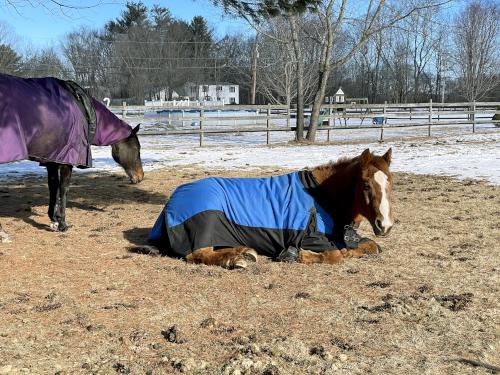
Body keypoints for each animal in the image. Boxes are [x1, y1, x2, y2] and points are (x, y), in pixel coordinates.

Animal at [0, 72, 145, 241]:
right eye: (137, 149)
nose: (140, 176)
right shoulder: (67, 160)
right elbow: (64, 189)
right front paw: (62, 224)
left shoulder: (53, 158)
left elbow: (53, 186)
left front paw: (54, 219)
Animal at [148, 148, 394, 268]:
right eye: (366, 185)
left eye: (390, 182)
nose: (385, 225)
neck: (321, 195)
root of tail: (171, 203)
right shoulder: (310, 237)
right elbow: (335, 256)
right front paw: (297, 255)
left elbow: (372, 246)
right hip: (205, 223)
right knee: (197, 254)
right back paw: (237, 259)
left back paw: (243, 252)